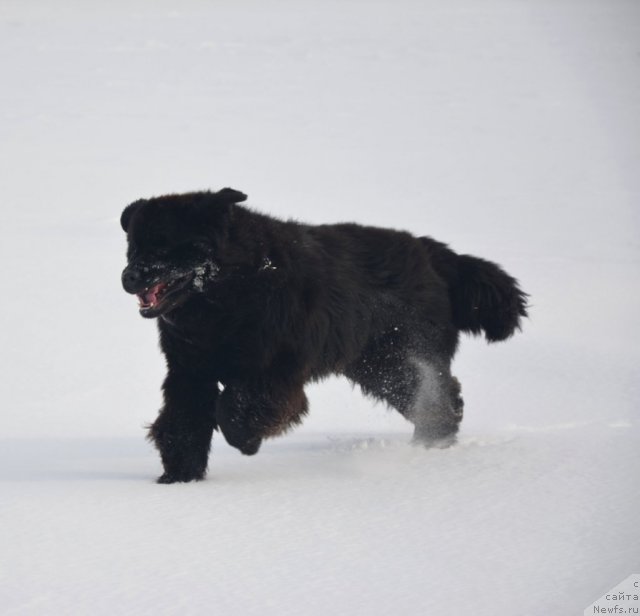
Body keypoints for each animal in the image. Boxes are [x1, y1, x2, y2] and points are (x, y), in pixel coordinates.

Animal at [120, 186, 524, 482]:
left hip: (400, 357)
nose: (128, 276)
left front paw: (244, 441)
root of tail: (432, 252)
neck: (230, 292)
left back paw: (432, 445)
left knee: (442, 396)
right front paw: (179, 478)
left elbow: (237, 407)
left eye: (163, 245)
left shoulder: (275, 368)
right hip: (379, 366)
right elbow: (182, 421)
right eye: (133, 248)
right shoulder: (189, 371)